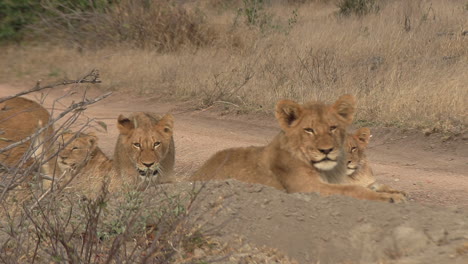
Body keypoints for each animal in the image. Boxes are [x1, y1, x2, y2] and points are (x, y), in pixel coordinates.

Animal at [190, 95, 406, 202]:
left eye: (332, 127)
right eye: (309, 130)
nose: (326, 150)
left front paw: (395, 192)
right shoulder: (307, 187)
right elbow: (352, 189)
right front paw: (390, 198)